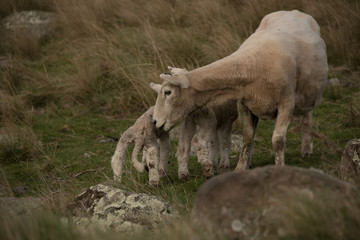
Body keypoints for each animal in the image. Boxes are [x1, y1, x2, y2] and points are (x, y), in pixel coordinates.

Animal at [150, 10, 328, 170]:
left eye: (168, 92)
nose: (155, 121)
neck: (254, 63)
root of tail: (293, 11)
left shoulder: (286, 103)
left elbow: (277, 140)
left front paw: (279, 167)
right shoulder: (248, 105)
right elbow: (247, 137)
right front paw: (241, 167)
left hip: (310, 93)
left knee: (308, 114)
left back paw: (306, 148)